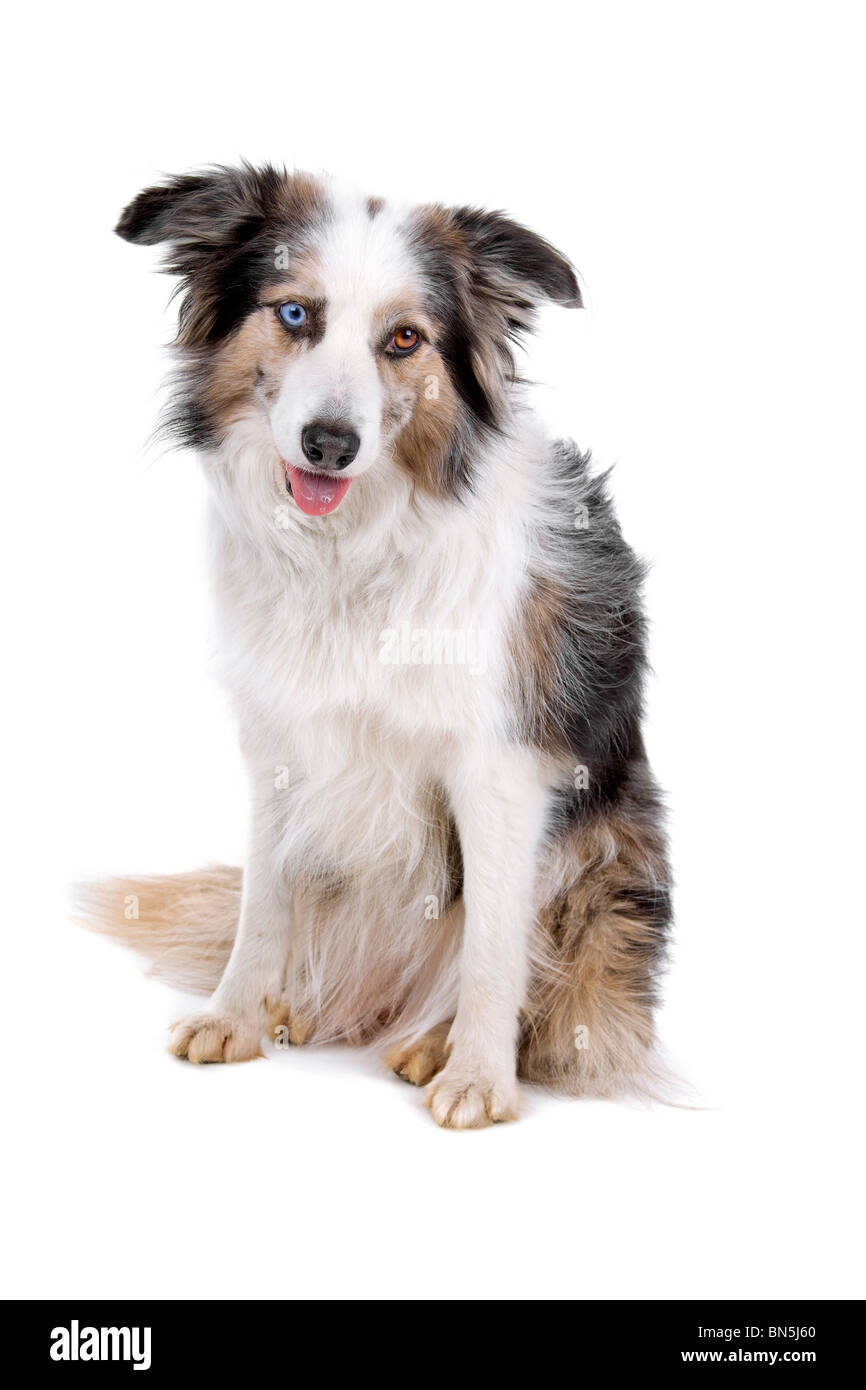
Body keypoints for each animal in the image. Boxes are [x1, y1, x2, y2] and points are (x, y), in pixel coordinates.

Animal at [81, 168, 675, 1128]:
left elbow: (493, 947)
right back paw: (304, 1005)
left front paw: (478, 1075)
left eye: (404, 339)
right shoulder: (278, 743)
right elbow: (264, 903)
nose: (330, 443)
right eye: (294, 313)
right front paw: (236, 1014)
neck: (350, 554)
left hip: (600, 848)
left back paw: (434, 1041)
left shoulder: (500, 767)